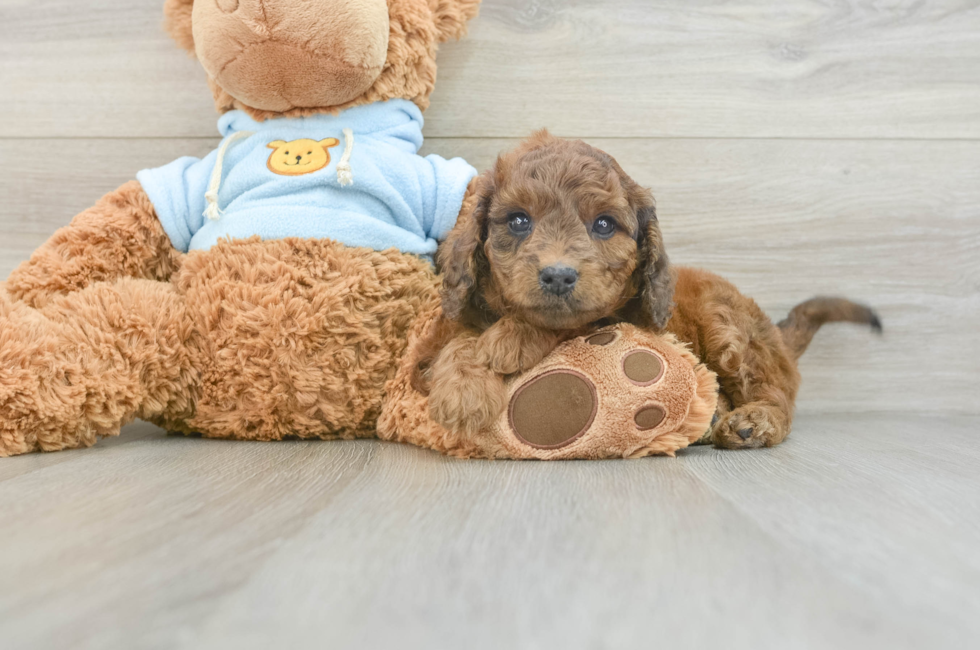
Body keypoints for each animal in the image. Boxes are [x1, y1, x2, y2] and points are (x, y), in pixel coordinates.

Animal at [418, 130, 876, 446]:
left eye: (604, 224)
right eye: (517, 220)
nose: (558, 275)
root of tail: (776, 336)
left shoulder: (612, 316)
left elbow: (568, 323)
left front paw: (508, 341)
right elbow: (457, 342)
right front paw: (463, 391)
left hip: (732, 332)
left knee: (775, 393)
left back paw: (753, 421)